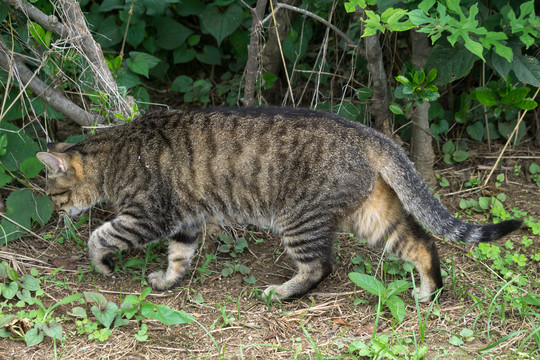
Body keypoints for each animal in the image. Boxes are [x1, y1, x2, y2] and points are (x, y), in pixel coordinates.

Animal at [34, 107, 524, 300]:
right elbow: (179, 255)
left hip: (298, 220)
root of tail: (366, 132)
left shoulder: (149, 215)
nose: (56, 215)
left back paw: (283, 292)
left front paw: (101, 264)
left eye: (53, 194)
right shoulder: (186, 220)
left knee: (320, 267)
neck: (114, 155)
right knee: (422, 243)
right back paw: (427, 291)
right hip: (372, 215)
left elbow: (103, 235)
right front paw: (168, 280)